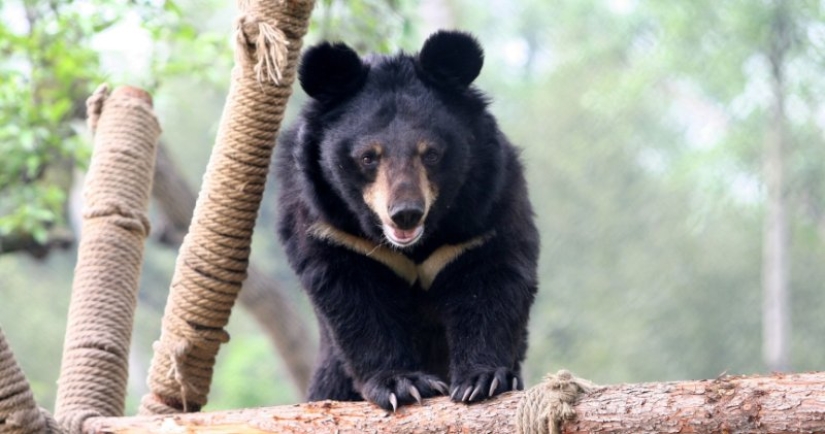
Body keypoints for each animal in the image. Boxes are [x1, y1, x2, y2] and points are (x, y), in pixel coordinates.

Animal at [274, 30, 539, 411]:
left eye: (431, 153)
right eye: (368, 157)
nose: (405, 213)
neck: (415, 244)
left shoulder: (485, 211)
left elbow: (491, 281)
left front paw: (484, 380)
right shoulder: (328, 225)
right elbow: (355, 299)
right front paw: (403, 384)